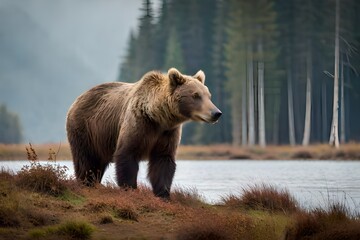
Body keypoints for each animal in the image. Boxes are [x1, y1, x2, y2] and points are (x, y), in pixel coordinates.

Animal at [66, 68, 221, 199]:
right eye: (196, 95)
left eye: (209, 95)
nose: (216, 113)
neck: (158, 117)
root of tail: (78, 98)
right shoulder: (139, 125)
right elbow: (126, 154)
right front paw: (130, 189)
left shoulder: (167, 133)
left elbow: (163, 161)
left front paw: (163, 194)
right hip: (86, 129)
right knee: (87, 160)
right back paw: (87, 183)